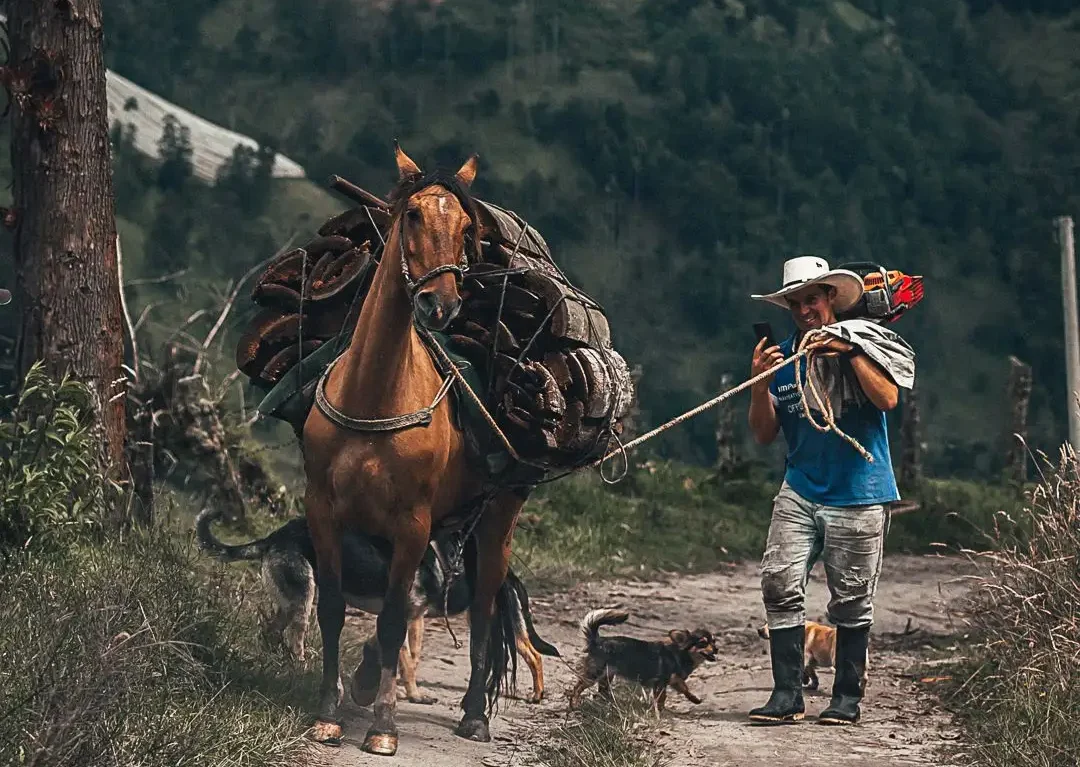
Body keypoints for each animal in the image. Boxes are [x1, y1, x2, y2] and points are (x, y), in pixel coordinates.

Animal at [304, 144, 527, 756]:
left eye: (468, 227)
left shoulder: (412, 524)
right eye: (412, 216)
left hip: (496, 523)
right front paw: (327, 714)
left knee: (483, 608)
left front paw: (383, 727)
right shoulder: (324, 512)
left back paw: (474, 715)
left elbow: (393, 619)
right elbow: (335, 610)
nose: (439, 304)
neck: (373, 395)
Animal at [565, 609, 717, 717]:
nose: (717, 649)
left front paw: (694, 699)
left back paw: (611, 705)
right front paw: (659, 712)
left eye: (714, 641)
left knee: (602, 692)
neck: (680, 653)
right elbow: (661, 698)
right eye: (703, 643)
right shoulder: (661, 683)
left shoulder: (673, 680)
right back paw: (574, 704)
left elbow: (684, 688)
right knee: (577, 688)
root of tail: (597, 642)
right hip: (594, 674)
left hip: (607, 676)